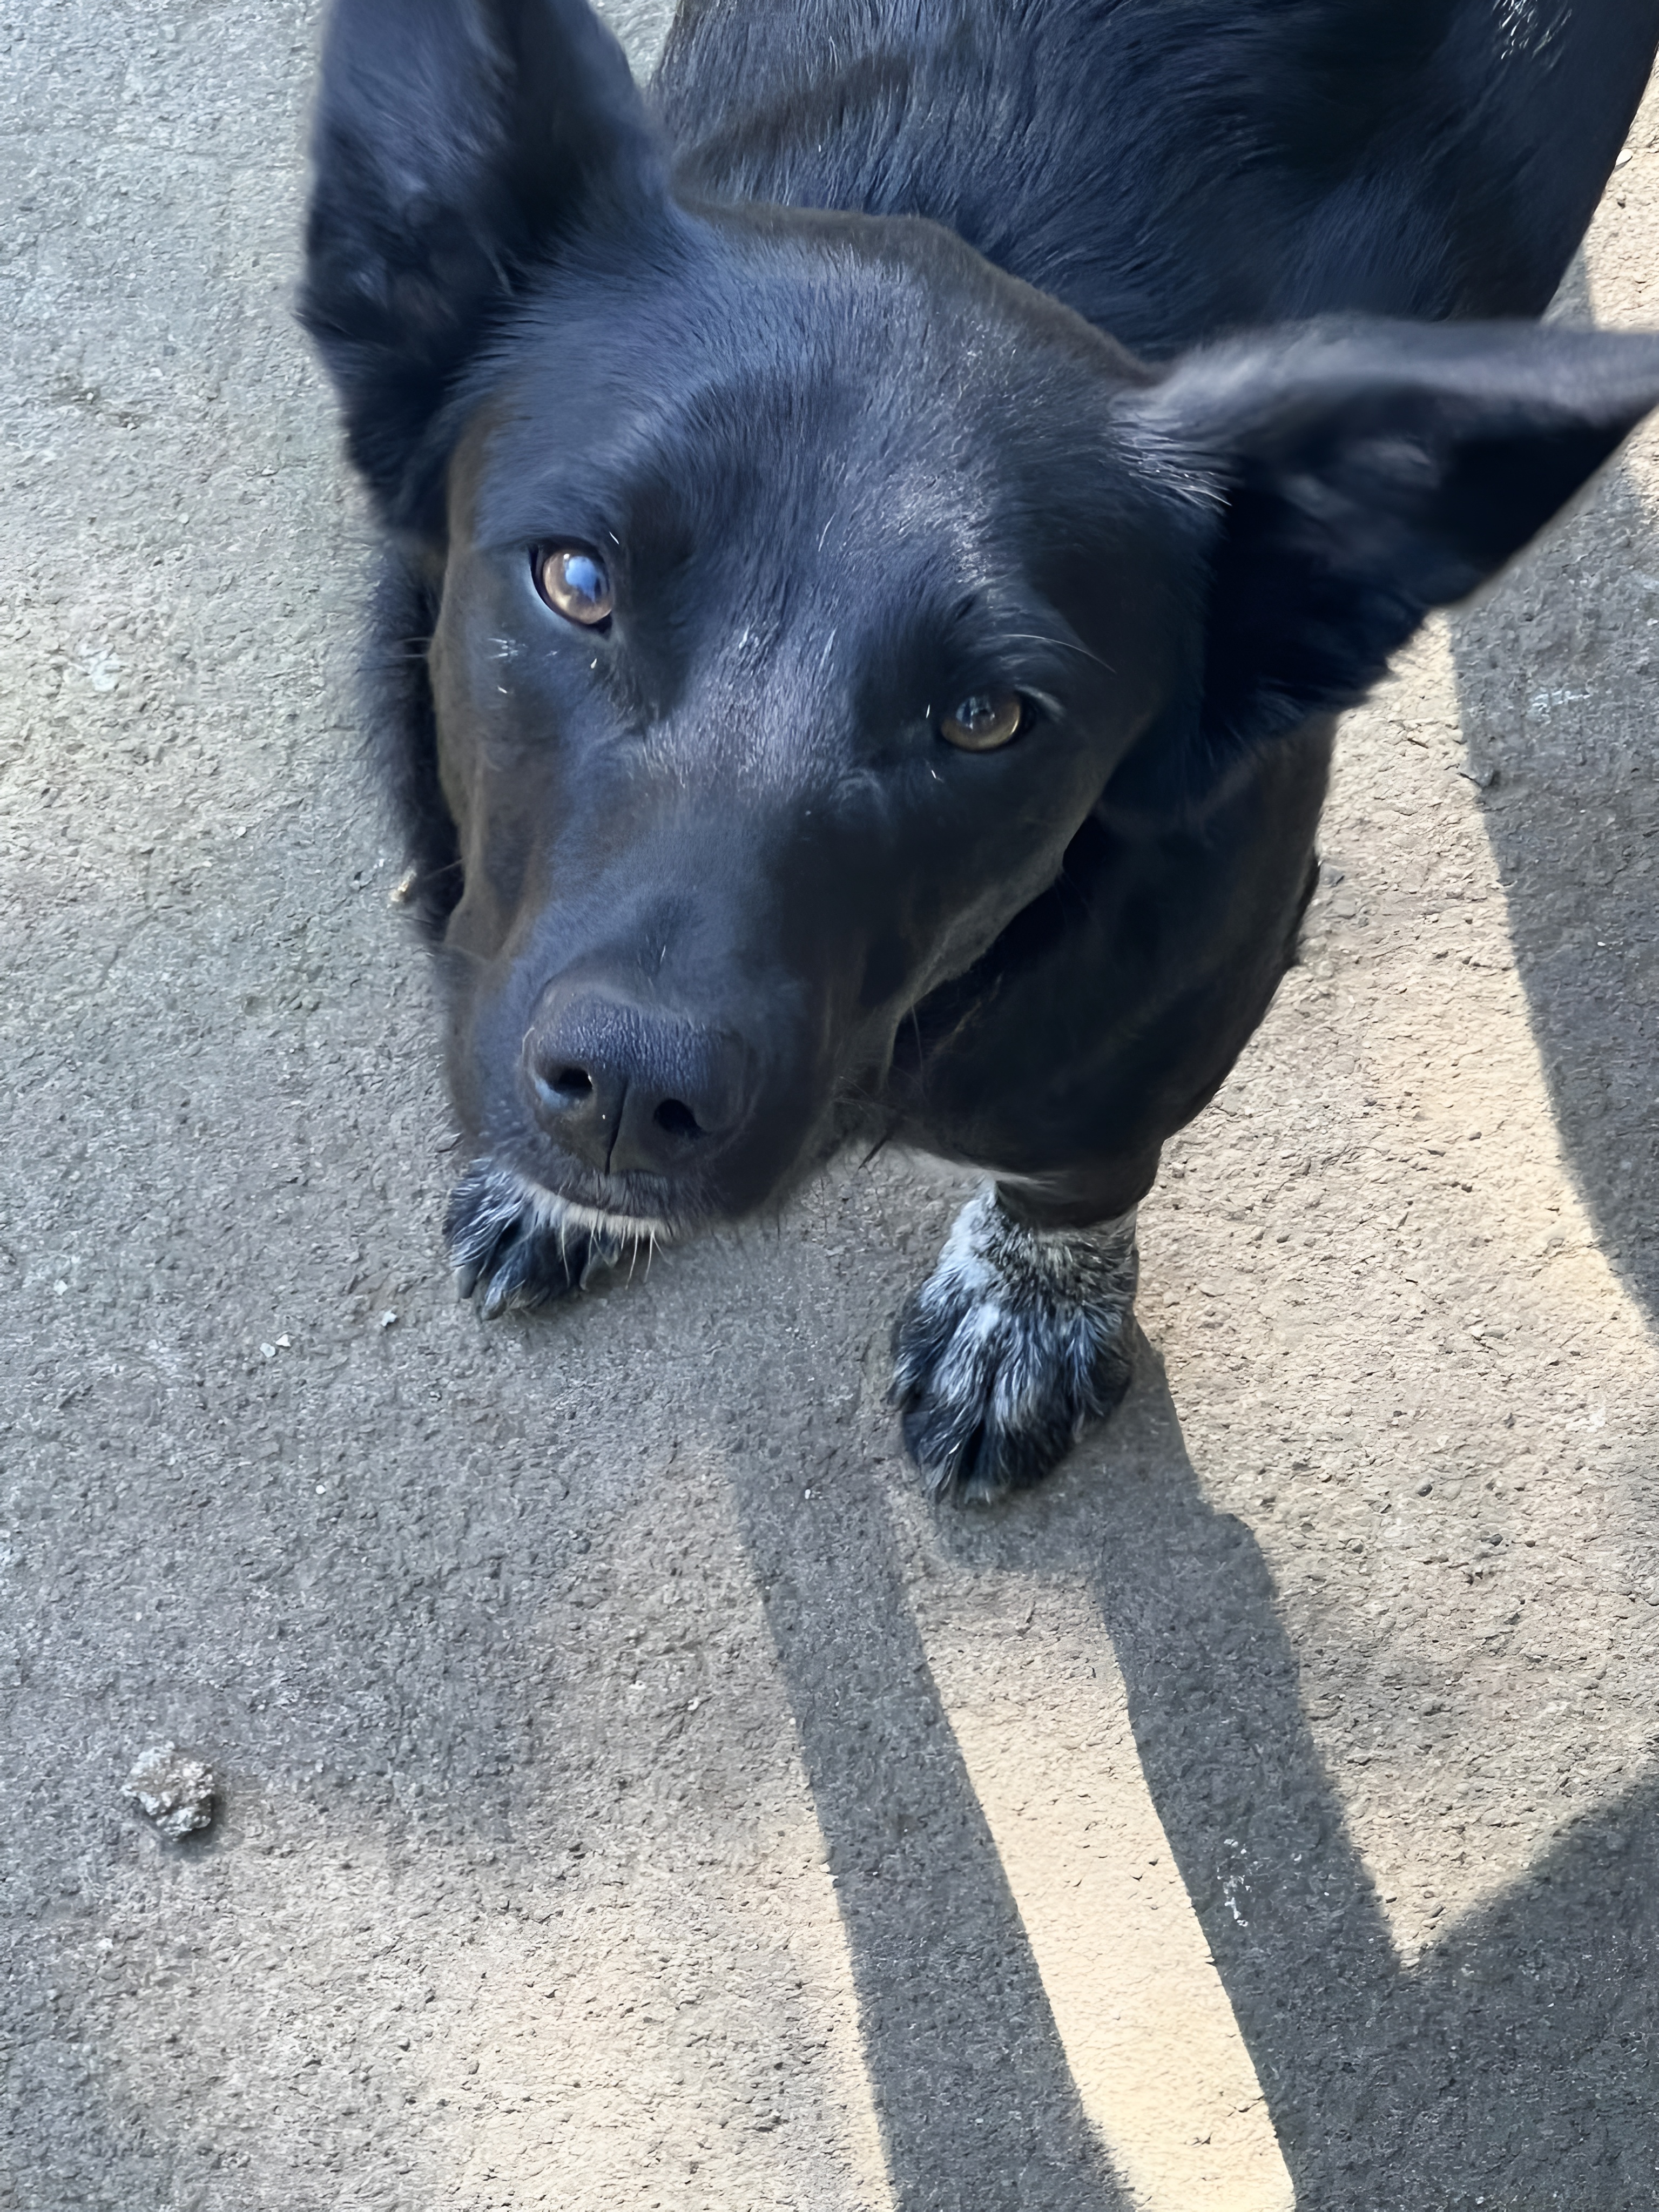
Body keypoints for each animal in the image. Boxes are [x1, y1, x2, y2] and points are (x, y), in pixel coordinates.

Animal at [302, 0, 1659, 1500]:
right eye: (578, 581)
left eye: (984, 718)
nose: (629, 1092)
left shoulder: (1186, 1001)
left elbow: (1083, 1161)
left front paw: (1027, 1307)